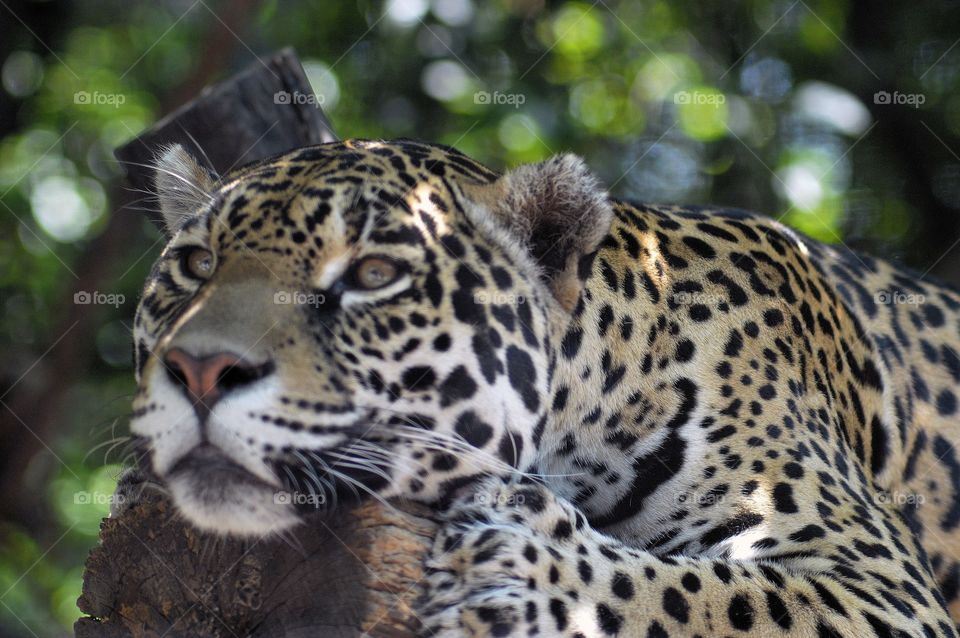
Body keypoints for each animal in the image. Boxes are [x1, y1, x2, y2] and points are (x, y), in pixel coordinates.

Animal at [125, 137, 960, 637]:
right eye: (197, 265)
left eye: (373, 274)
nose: (200, 370)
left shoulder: (883, 586)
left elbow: (719, 599)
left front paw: (525, 572)